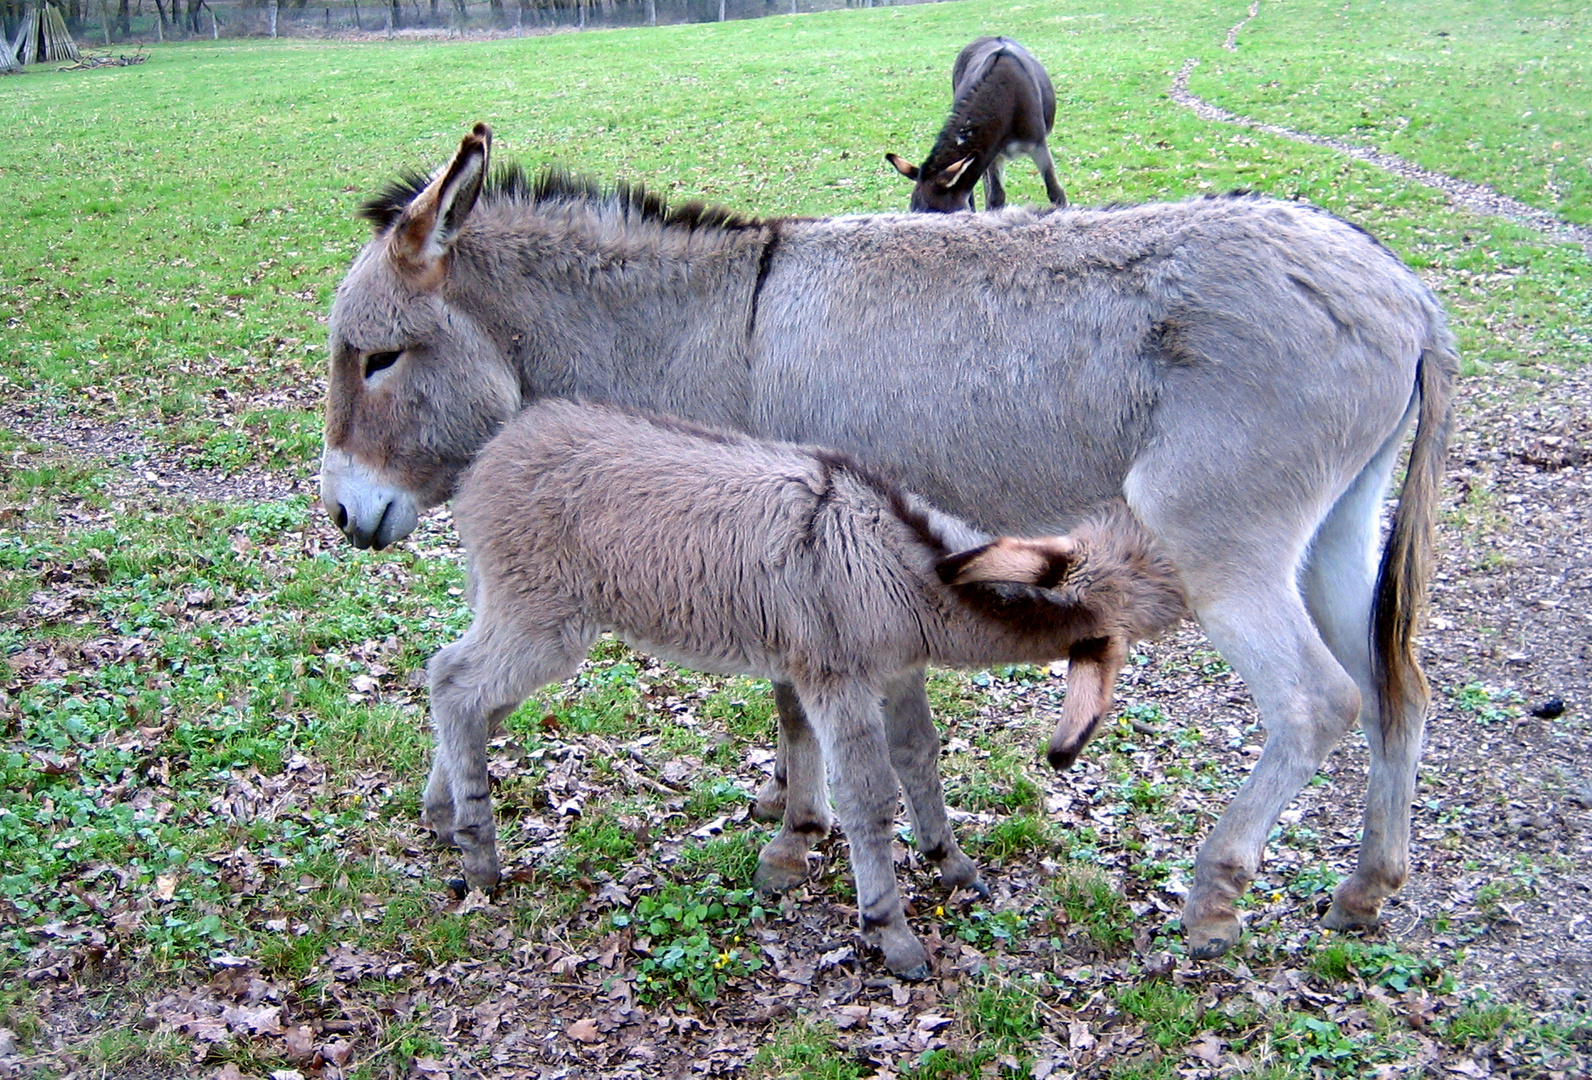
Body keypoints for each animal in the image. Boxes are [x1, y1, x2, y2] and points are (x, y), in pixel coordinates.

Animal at [423, 399, 1184, 981]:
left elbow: (921, 760)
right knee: (455, 682)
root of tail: (495, 451)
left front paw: (951, 863)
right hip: (544, 622)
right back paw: (480, 853)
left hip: (521, 614)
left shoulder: (898, 672)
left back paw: (443, 814)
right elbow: (868, 795)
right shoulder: (836, 677)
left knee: (471, 694)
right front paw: (890, 930)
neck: (902, 566)